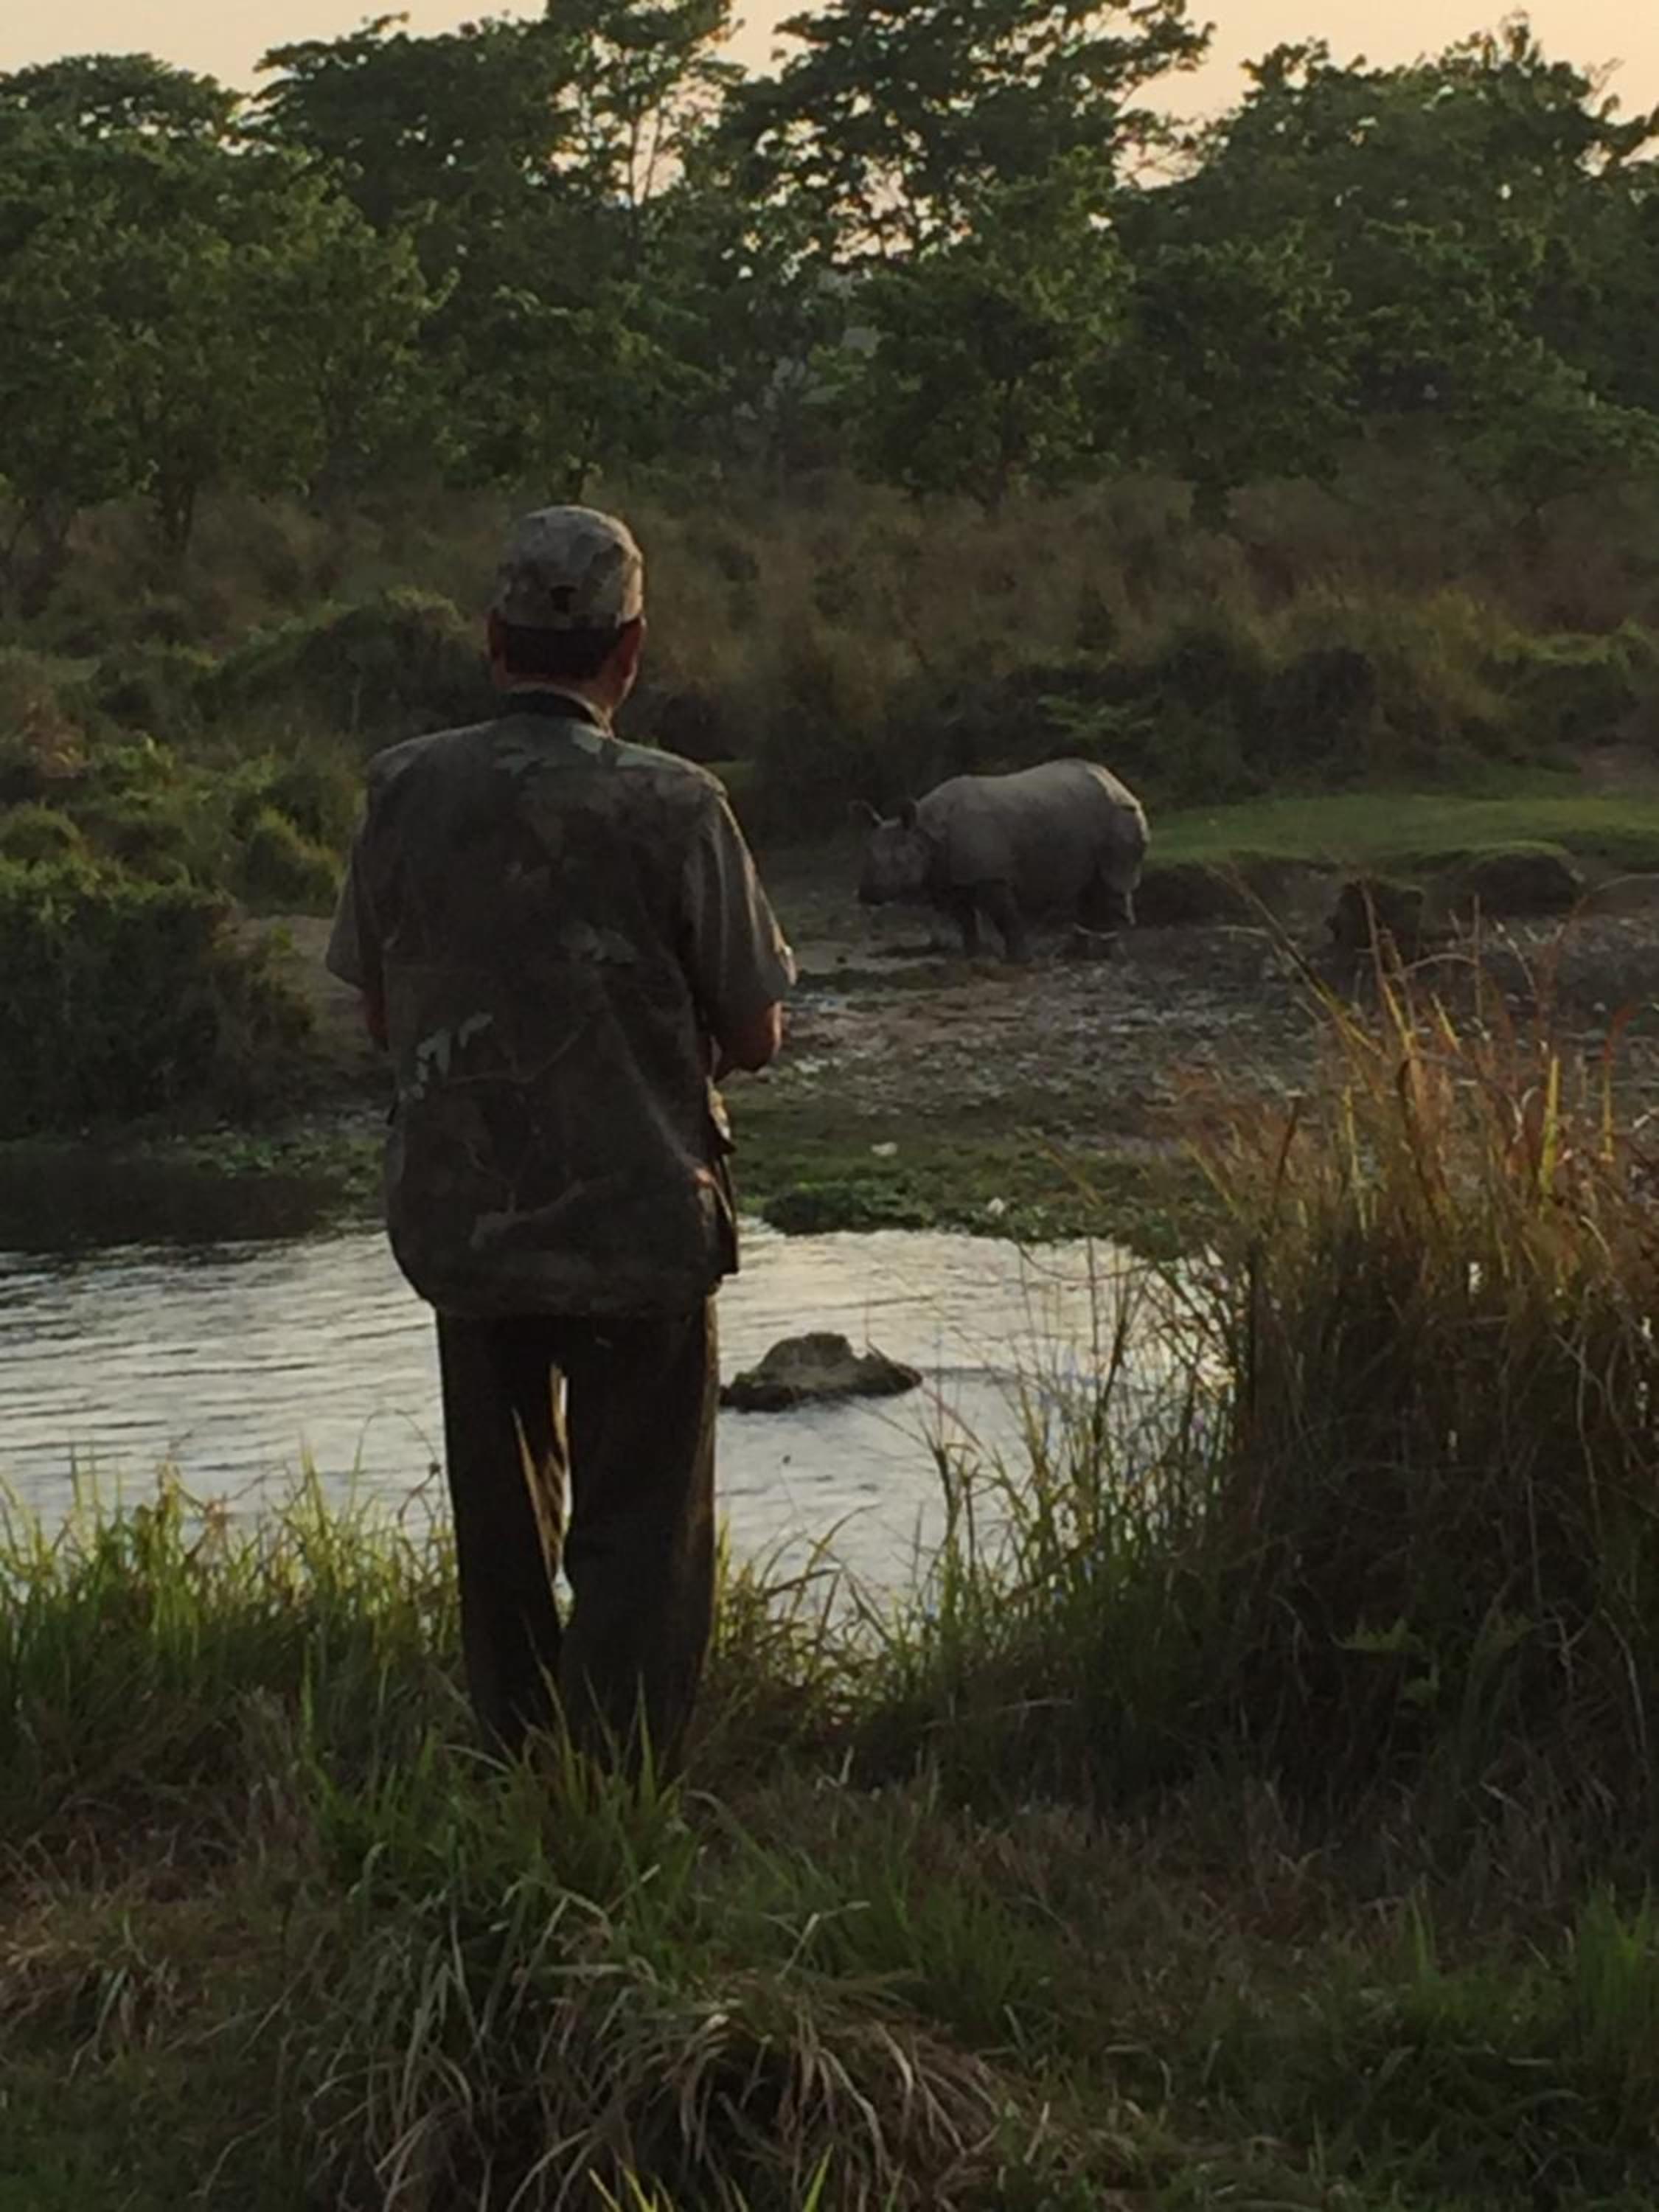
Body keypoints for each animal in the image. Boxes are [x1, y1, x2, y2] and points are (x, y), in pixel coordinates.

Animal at [856, 758, 1148, 963]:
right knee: (1089, 887)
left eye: (897, 863)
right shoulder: (950, 877)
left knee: (1112, 881)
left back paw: (1113, 956)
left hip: (1119, 815)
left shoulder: (990, 875)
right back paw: (1079, 954)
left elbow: (1005, 917)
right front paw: (970, 956)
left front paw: (1019, 960)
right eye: (866, 855)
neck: (924, 832)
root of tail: (1119, 784)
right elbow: (965, 919)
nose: (866, 893)